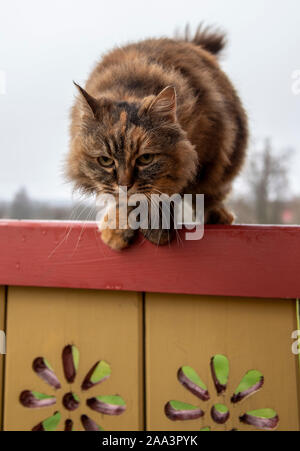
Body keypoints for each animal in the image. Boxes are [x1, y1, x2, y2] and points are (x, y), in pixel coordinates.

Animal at [67, 24, 248, 251]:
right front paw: (118, 228)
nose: (125, 185)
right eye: (105, 161)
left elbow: (164, 193)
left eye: (146, 159)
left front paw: (156, 227)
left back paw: (217, 215)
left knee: (212, 194)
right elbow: (122, 200)